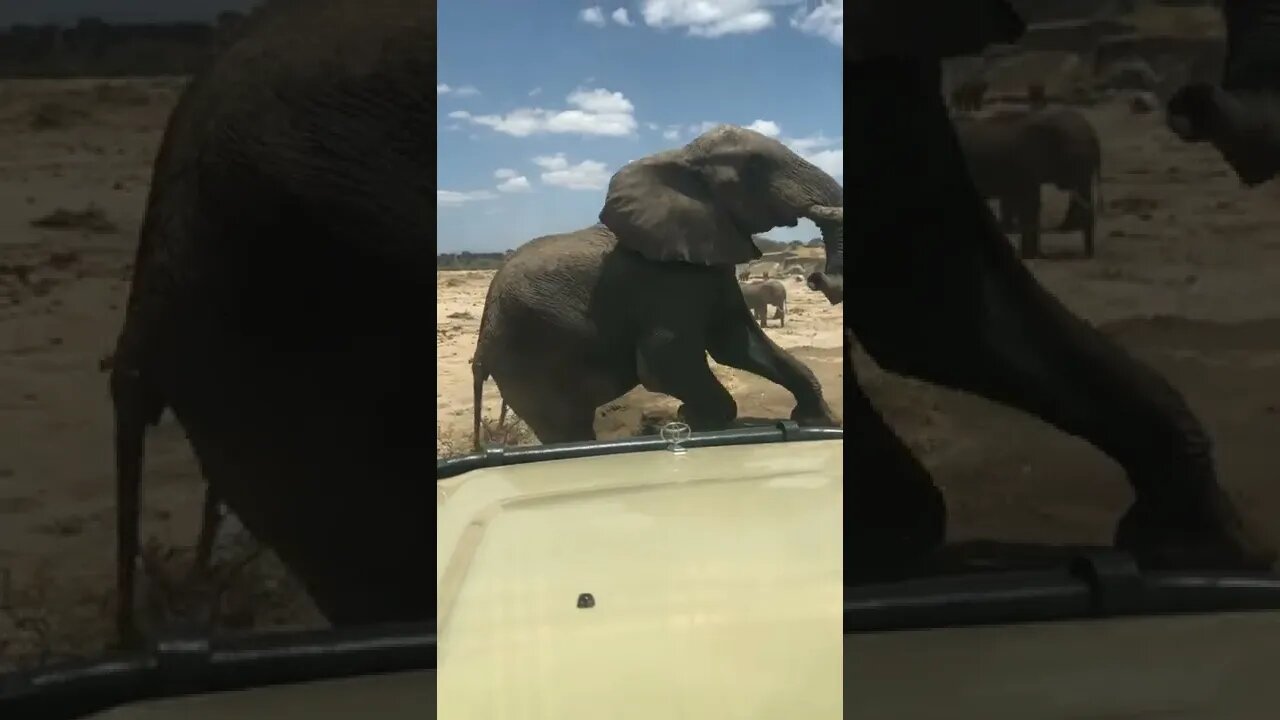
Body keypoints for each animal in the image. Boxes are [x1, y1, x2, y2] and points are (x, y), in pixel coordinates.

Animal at [465, 126, 844, 445]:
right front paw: (694, 421)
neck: (680, 159)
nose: (815, 278)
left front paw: (814, 420)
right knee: (566, 427)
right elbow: (666, 360)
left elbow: (736, 342)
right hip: (527, 358)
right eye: (754, 167)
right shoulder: (662, 280)